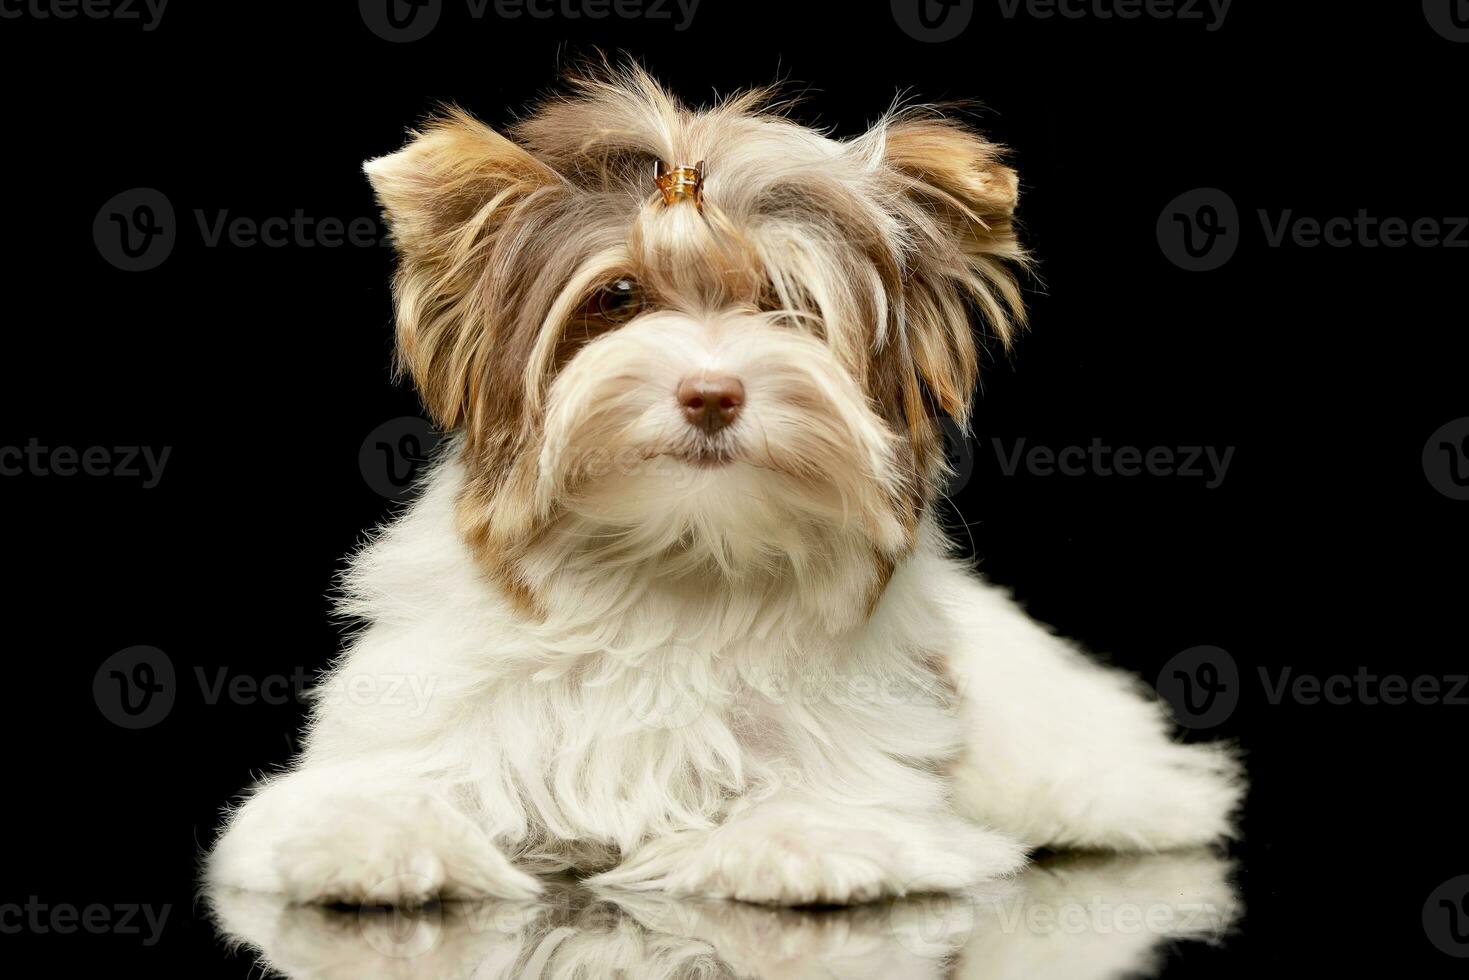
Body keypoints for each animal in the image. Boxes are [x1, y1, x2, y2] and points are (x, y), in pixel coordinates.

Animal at [207, 65, 1239, 910]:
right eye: (616, 298)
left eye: (786, 303)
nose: (710, 392)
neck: (679, 556)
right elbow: (377, 789)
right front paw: (374, 841)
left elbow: (841, 804)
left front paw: (799, 844)